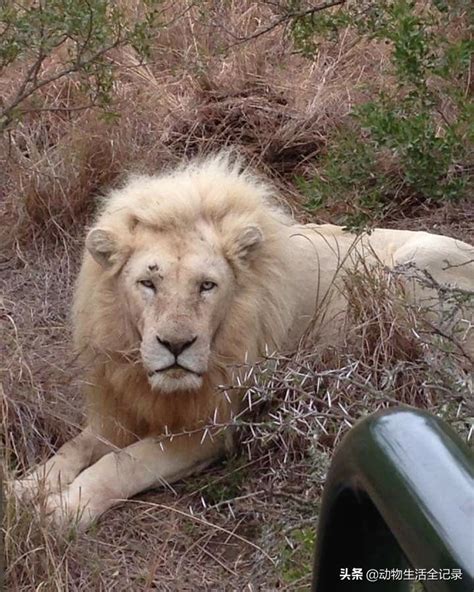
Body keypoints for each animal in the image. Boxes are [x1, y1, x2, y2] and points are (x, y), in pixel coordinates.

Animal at [12, 154, 474, 528]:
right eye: (148, 283)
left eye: (207, 286)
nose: (175, 346)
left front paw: (65, 508)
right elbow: (75, 448)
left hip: (412, 265)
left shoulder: (211, 428)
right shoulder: (119, 410)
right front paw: (25, 488)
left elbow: (122, 463)